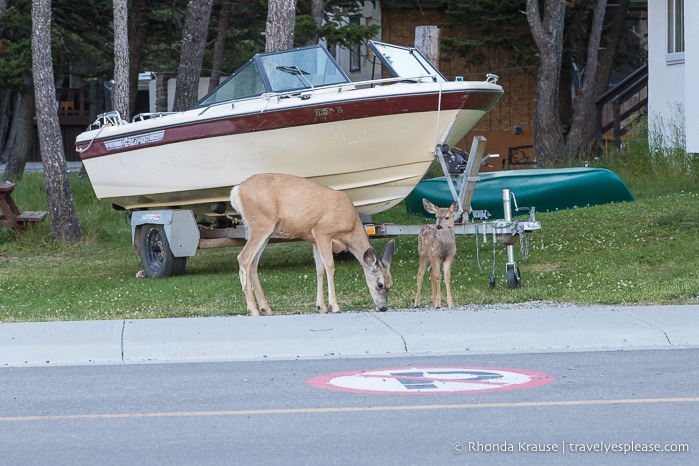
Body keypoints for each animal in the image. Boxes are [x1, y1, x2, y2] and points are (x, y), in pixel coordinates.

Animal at [230, 173, 394, 314]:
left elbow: (319, 269)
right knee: (243, 258)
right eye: (380, 284)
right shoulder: (322, 231)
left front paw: (321, 307)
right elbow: (330, 266)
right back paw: (253, 310)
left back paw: (266, 309)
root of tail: (236, 191)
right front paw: (334, 306)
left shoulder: (314, 239)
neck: (351, 228)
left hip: (266, 231)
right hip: (261, 224)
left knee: (253, 263)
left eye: (391, 283)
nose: (383, 308)